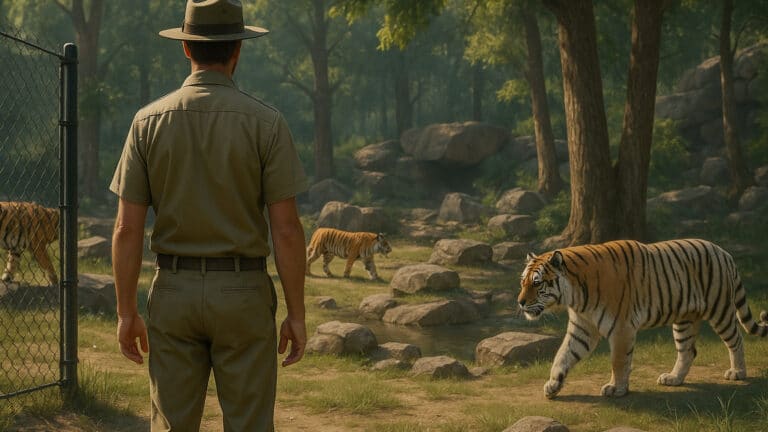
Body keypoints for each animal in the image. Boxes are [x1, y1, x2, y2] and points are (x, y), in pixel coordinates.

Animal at [518, 238, 768, 399]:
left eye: (537, 283)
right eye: (523, 281)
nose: (520, 302)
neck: (576, 295)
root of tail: (724, 252)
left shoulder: (621, 328)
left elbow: (618, 361)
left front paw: (616, 389)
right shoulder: (583, 327)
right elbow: (563, 355)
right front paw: (553, 385)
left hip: (720, 309)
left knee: (736, 339)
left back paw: (738, 373)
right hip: (684, 320)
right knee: (688, 350)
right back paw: (673, 378)